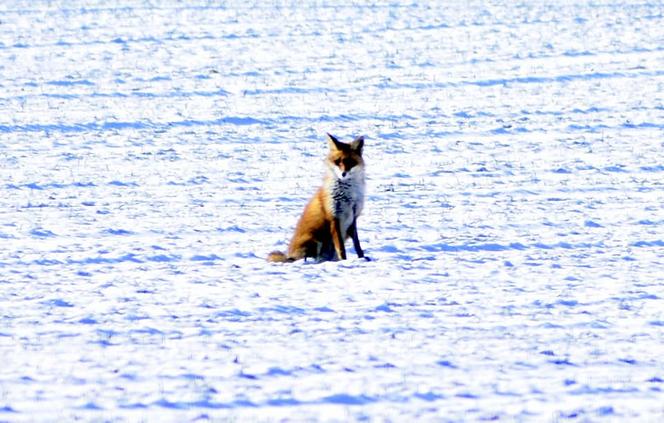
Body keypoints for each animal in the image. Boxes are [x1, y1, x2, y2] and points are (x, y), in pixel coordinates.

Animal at [266, 134, 368, 264]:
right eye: (338, 162)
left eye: (350, 162)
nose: (343, 174)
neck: (347, 195)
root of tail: (289, 255)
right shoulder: (334, 216)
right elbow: (341, 248)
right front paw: (345, 261)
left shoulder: (354, 216)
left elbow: (357, 244)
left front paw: (362, 259)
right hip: (315, 240)